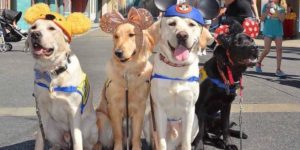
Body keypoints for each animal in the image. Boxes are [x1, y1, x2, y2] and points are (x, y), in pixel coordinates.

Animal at [24, 3, 98, 150]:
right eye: (33, 27)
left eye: (51, 28)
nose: (35, 34)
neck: (52, 71)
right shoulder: (42, 111)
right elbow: (39, 138)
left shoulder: (73, 111)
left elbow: (77, 141)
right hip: (51, 129)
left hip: (90, 129)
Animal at [96, 7, 155, 150]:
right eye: (116, 36)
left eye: (131, 35)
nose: (118, 53)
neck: (128, 73)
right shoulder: (114, 108)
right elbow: (117, 134)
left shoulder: (140, 109)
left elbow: (136, 135)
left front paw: (136, 147)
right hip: (101, 116)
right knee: (100, 140)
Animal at [144, 3, 211, 150]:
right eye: (172, 23)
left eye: (192, 24)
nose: (182, 35)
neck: (176, 68)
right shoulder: (159, 110)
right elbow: (161, 142)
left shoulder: (189, 110)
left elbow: (186, 142)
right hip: (149, 119)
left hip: (196, 121)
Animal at [193, 20, 258, 149]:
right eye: (237, 42)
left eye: (252, 40)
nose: (254, 48)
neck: (226, 74)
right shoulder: (200, 107)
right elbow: (200, 131)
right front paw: (199, 146)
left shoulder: (227, 105)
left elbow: (225, 127)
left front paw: (228, 143)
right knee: (209, 134)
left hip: (216, 116)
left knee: (218, 130)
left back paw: (238, 134)